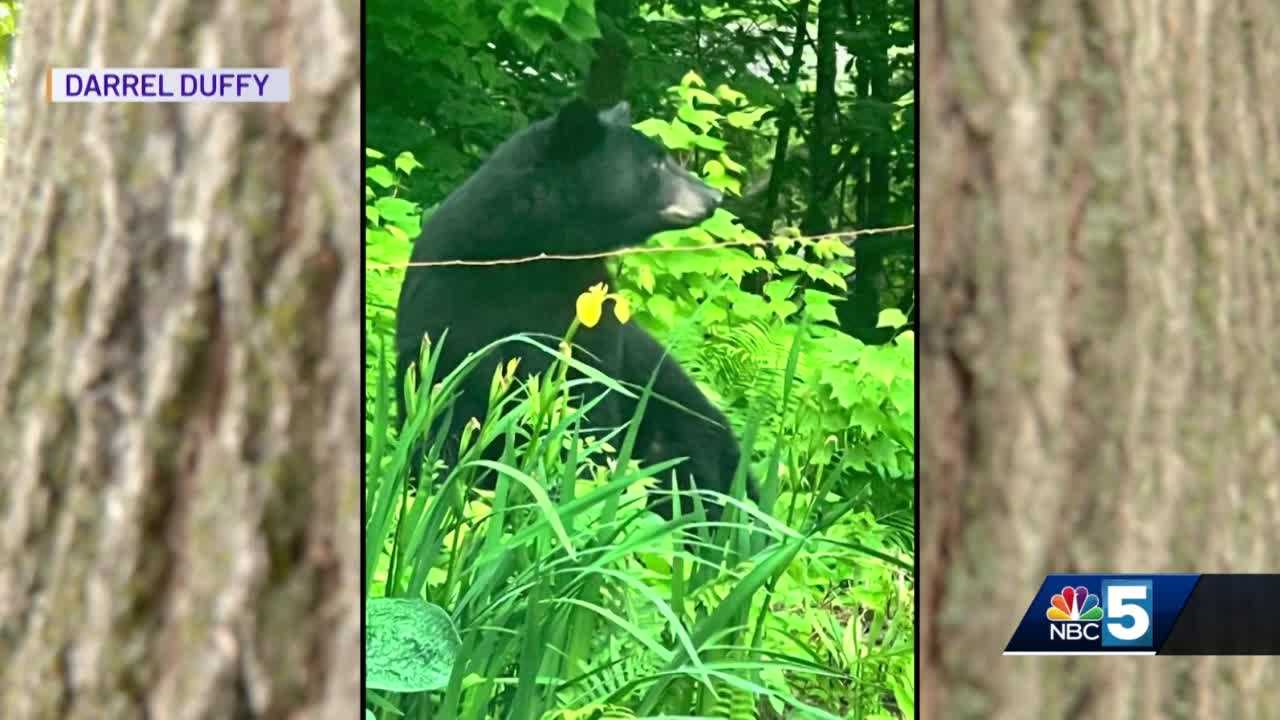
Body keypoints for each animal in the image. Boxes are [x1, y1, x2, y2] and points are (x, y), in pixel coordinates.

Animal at [394, 98, 757, 521]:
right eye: (655, 164)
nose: (714, 196)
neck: (535, 249)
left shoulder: (588, 309)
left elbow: (586, 399)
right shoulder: (447, 295)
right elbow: (441, 402)